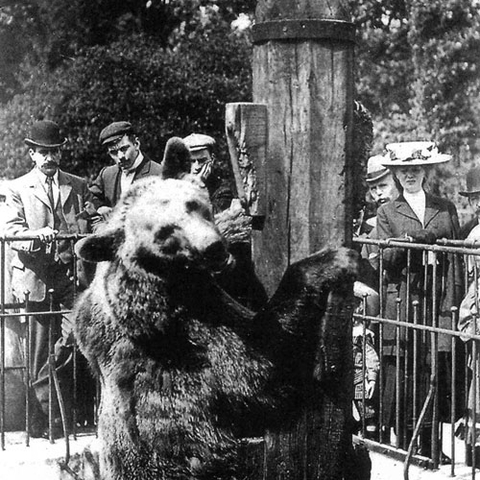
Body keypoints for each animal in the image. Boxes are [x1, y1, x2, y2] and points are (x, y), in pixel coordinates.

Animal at [73, 176, 358, 480]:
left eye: (193, 205)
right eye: (164, 231)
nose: (213, 247)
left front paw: (236, 219)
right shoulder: (181, 336)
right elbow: (258, 367)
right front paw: (333, 261)